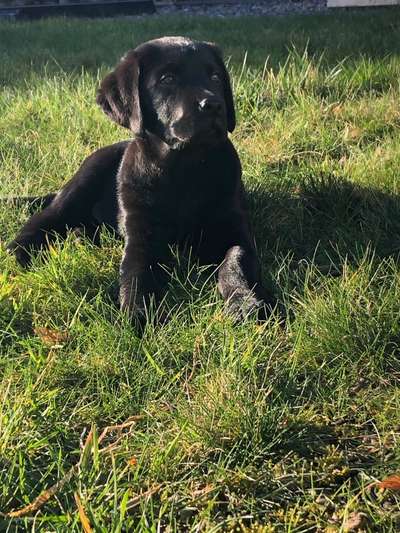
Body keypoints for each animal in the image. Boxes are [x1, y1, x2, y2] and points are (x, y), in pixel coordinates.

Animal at [7, 36, 276, 324]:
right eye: (167, 79)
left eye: (215, 76)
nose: (214, 105)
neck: (184, 168)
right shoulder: (141, 233)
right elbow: (136, 273)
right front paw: (136, 313)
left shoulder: (233, 226)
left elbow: (235, 260)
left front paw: (244, 302)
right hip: (83, 182)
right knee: (45, 218)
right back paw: (18, 253)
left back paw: (79, 238)